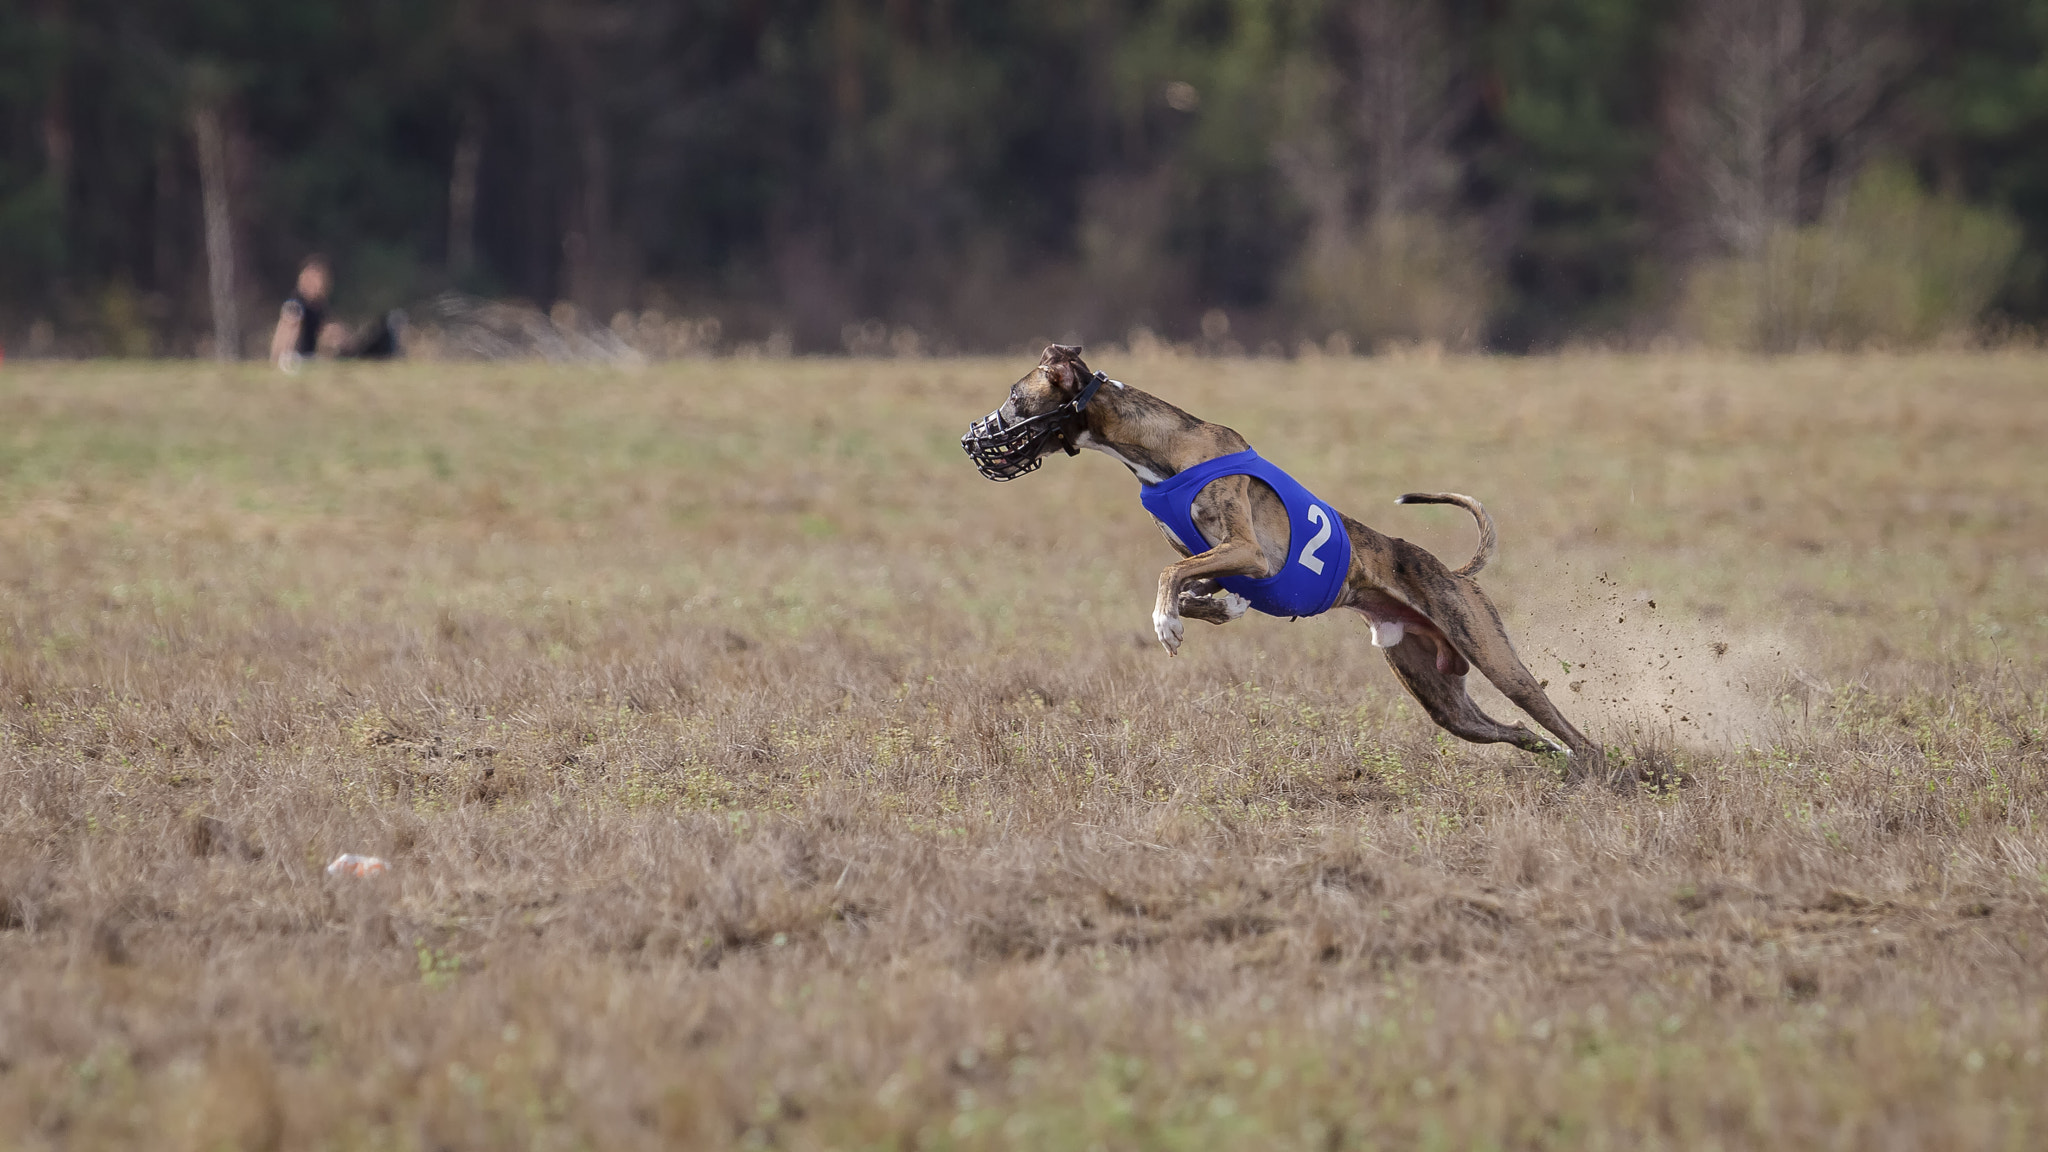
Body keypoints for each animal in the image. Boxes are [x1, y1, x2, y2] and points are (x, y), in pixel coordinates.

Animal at [966, 340, 1605, 770]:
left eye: (1015, 397)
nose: (975, 438)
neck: (1159, 446)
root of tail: (1451, 571)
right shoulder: (1225, 567)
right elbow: (1198, 588)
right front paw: (1201, 613)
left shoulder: (1249, 554)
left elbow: (1170, 574)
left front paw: (1166, 624)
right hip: (1441, 698)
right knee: (1516, 729)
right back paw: (1551, 759)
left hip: (1493, 657)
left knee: (1557, 720)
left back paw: (1606, 768)